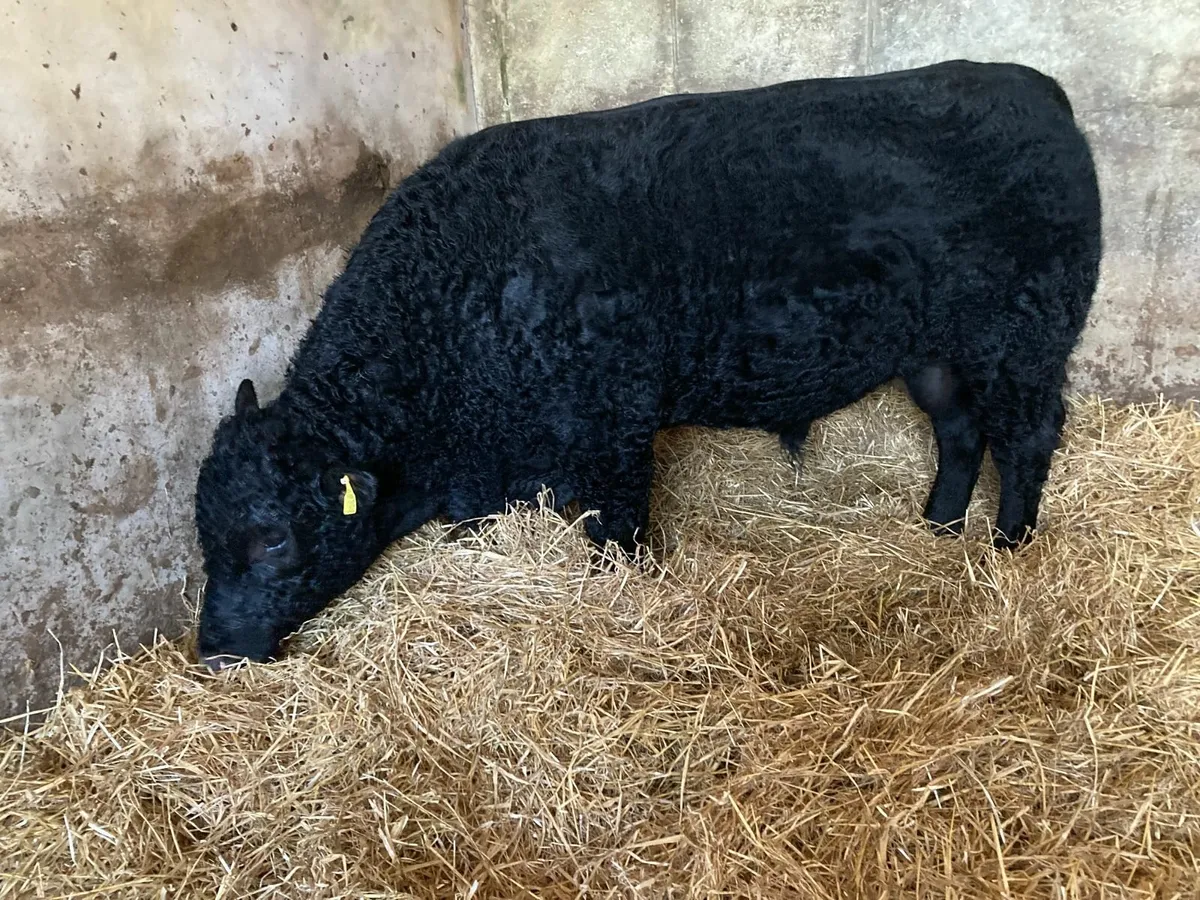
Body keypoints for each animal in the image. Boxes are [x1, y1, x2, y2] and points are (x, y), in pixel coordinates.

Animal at [194, 60, 1102, 669]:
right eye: (205, 532)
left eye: (273, 538)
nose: (214, 651)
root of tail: (1036, 88)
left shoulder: (613, 433)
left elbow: (617, 539)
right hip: (938, 356)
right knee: (960, 434)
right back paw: (939, 527)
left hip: (1023, 343)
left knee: (1026, 438)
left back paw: (1007, 548)